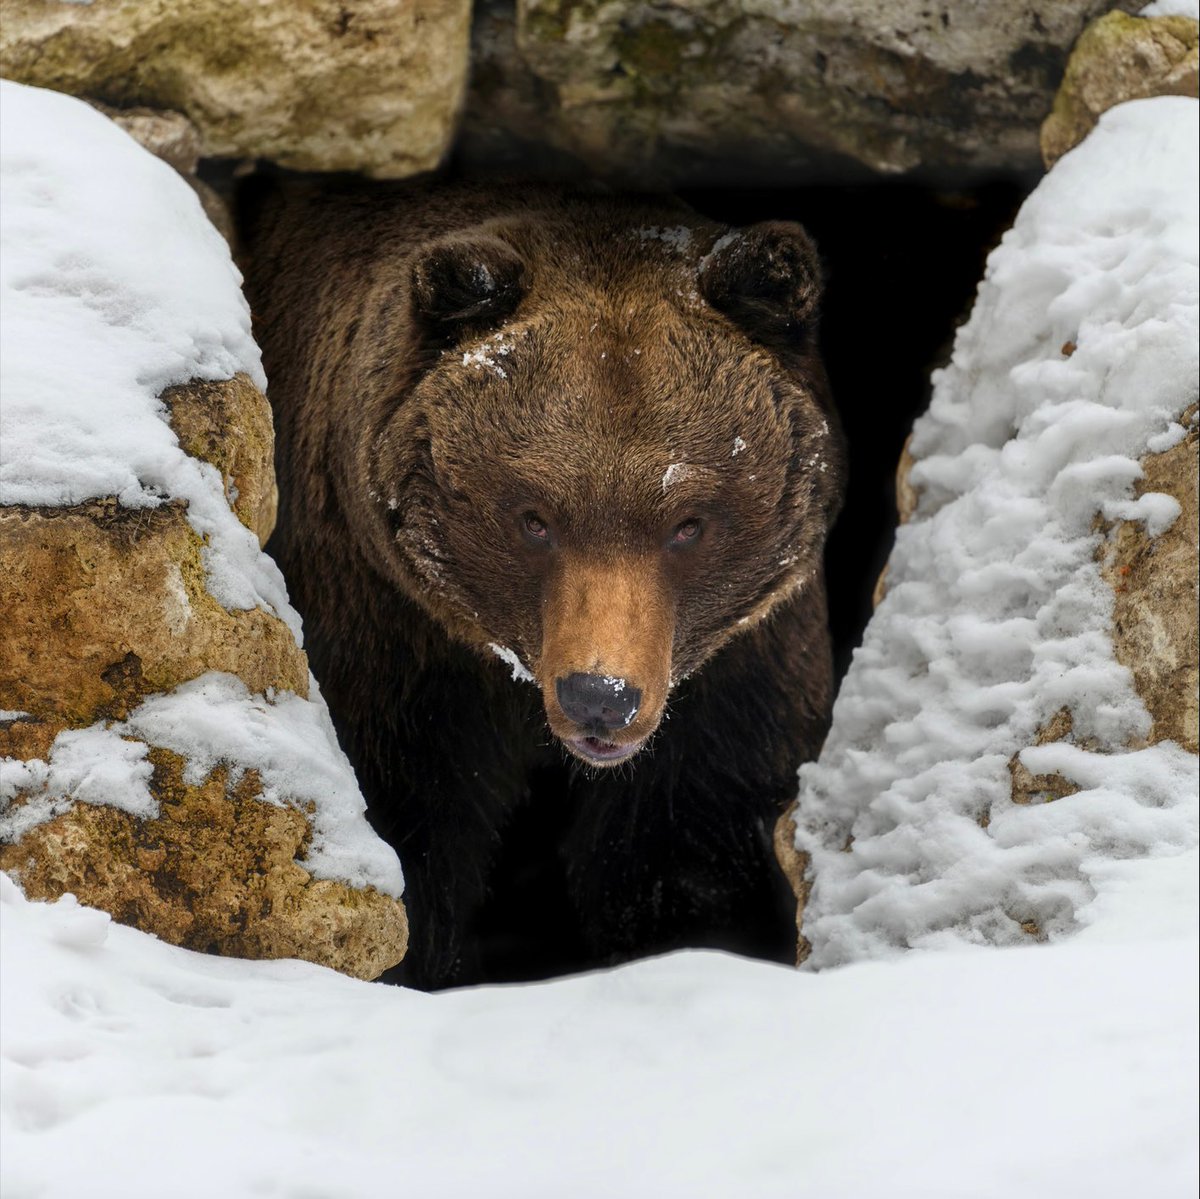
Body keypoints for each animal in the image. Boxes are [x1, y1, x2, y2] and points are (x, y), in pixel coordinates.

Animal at [240, 179, 847, 990]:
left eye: (688, 523)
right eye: (534, 517)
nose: (600, 695)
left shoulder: (737, 675)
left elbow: (685, 852)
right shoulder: (391, 636)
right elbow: (409, 825)